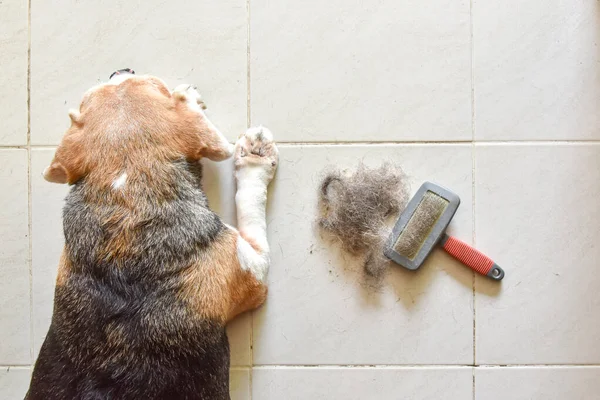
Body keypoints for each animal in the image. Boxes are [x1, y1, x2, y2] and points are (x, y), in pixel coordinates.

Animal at [26, 70, 278, 398]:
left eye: (86, 99)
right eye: (156, 85)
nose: (121, 71)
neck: (127, 206)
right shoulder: (255, 272)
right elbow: (250, 201)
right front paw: (255, 156)